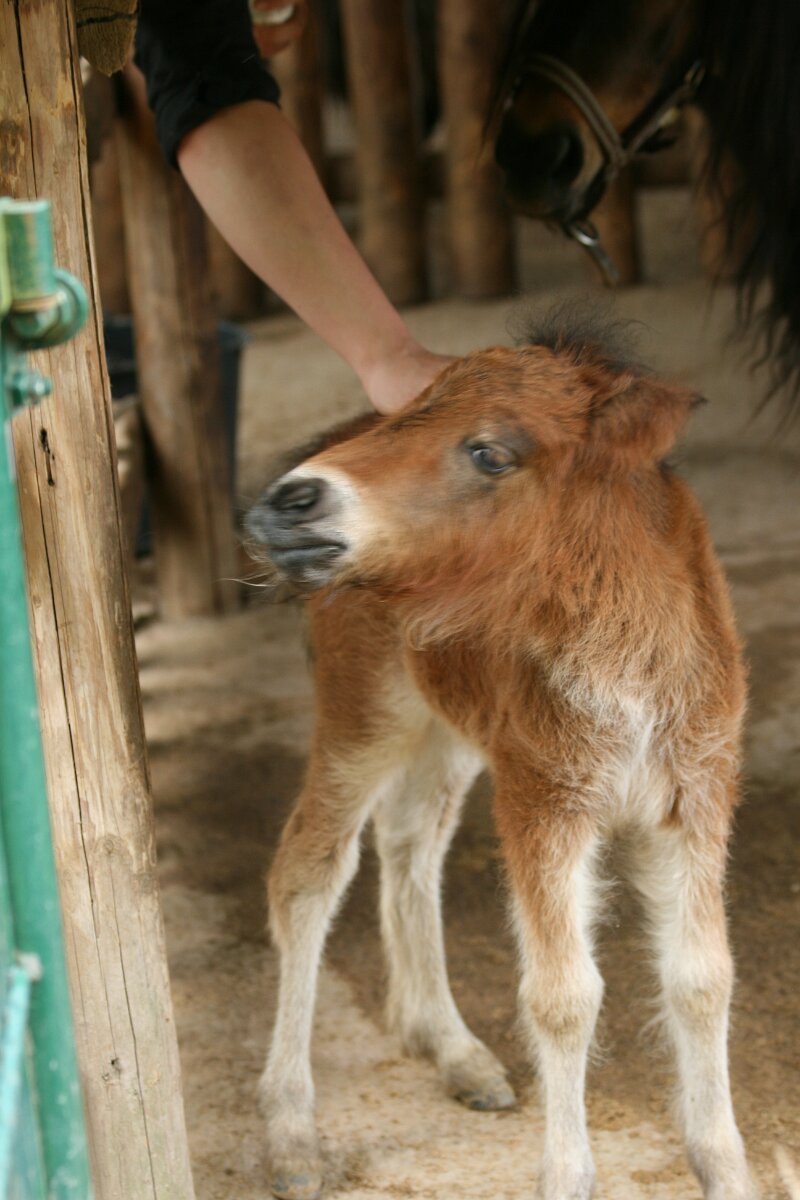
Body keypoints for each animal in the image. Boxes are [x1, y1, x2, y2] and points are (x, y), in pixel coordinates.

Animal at [246, 310, 754, 1200]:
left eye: (490, 451)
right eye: (408, 413)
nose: (290, 501)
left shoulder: (695, 796)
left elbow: (701, 977)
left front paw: (726, 1169)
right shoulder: (543, 797)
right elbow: (563, 995)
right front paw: (568, 1177)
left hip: (448, 732)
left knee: (410, 848)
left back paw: (452, 1051)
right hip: (365, 714)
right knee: (308, 872)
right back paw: (293, 1133)